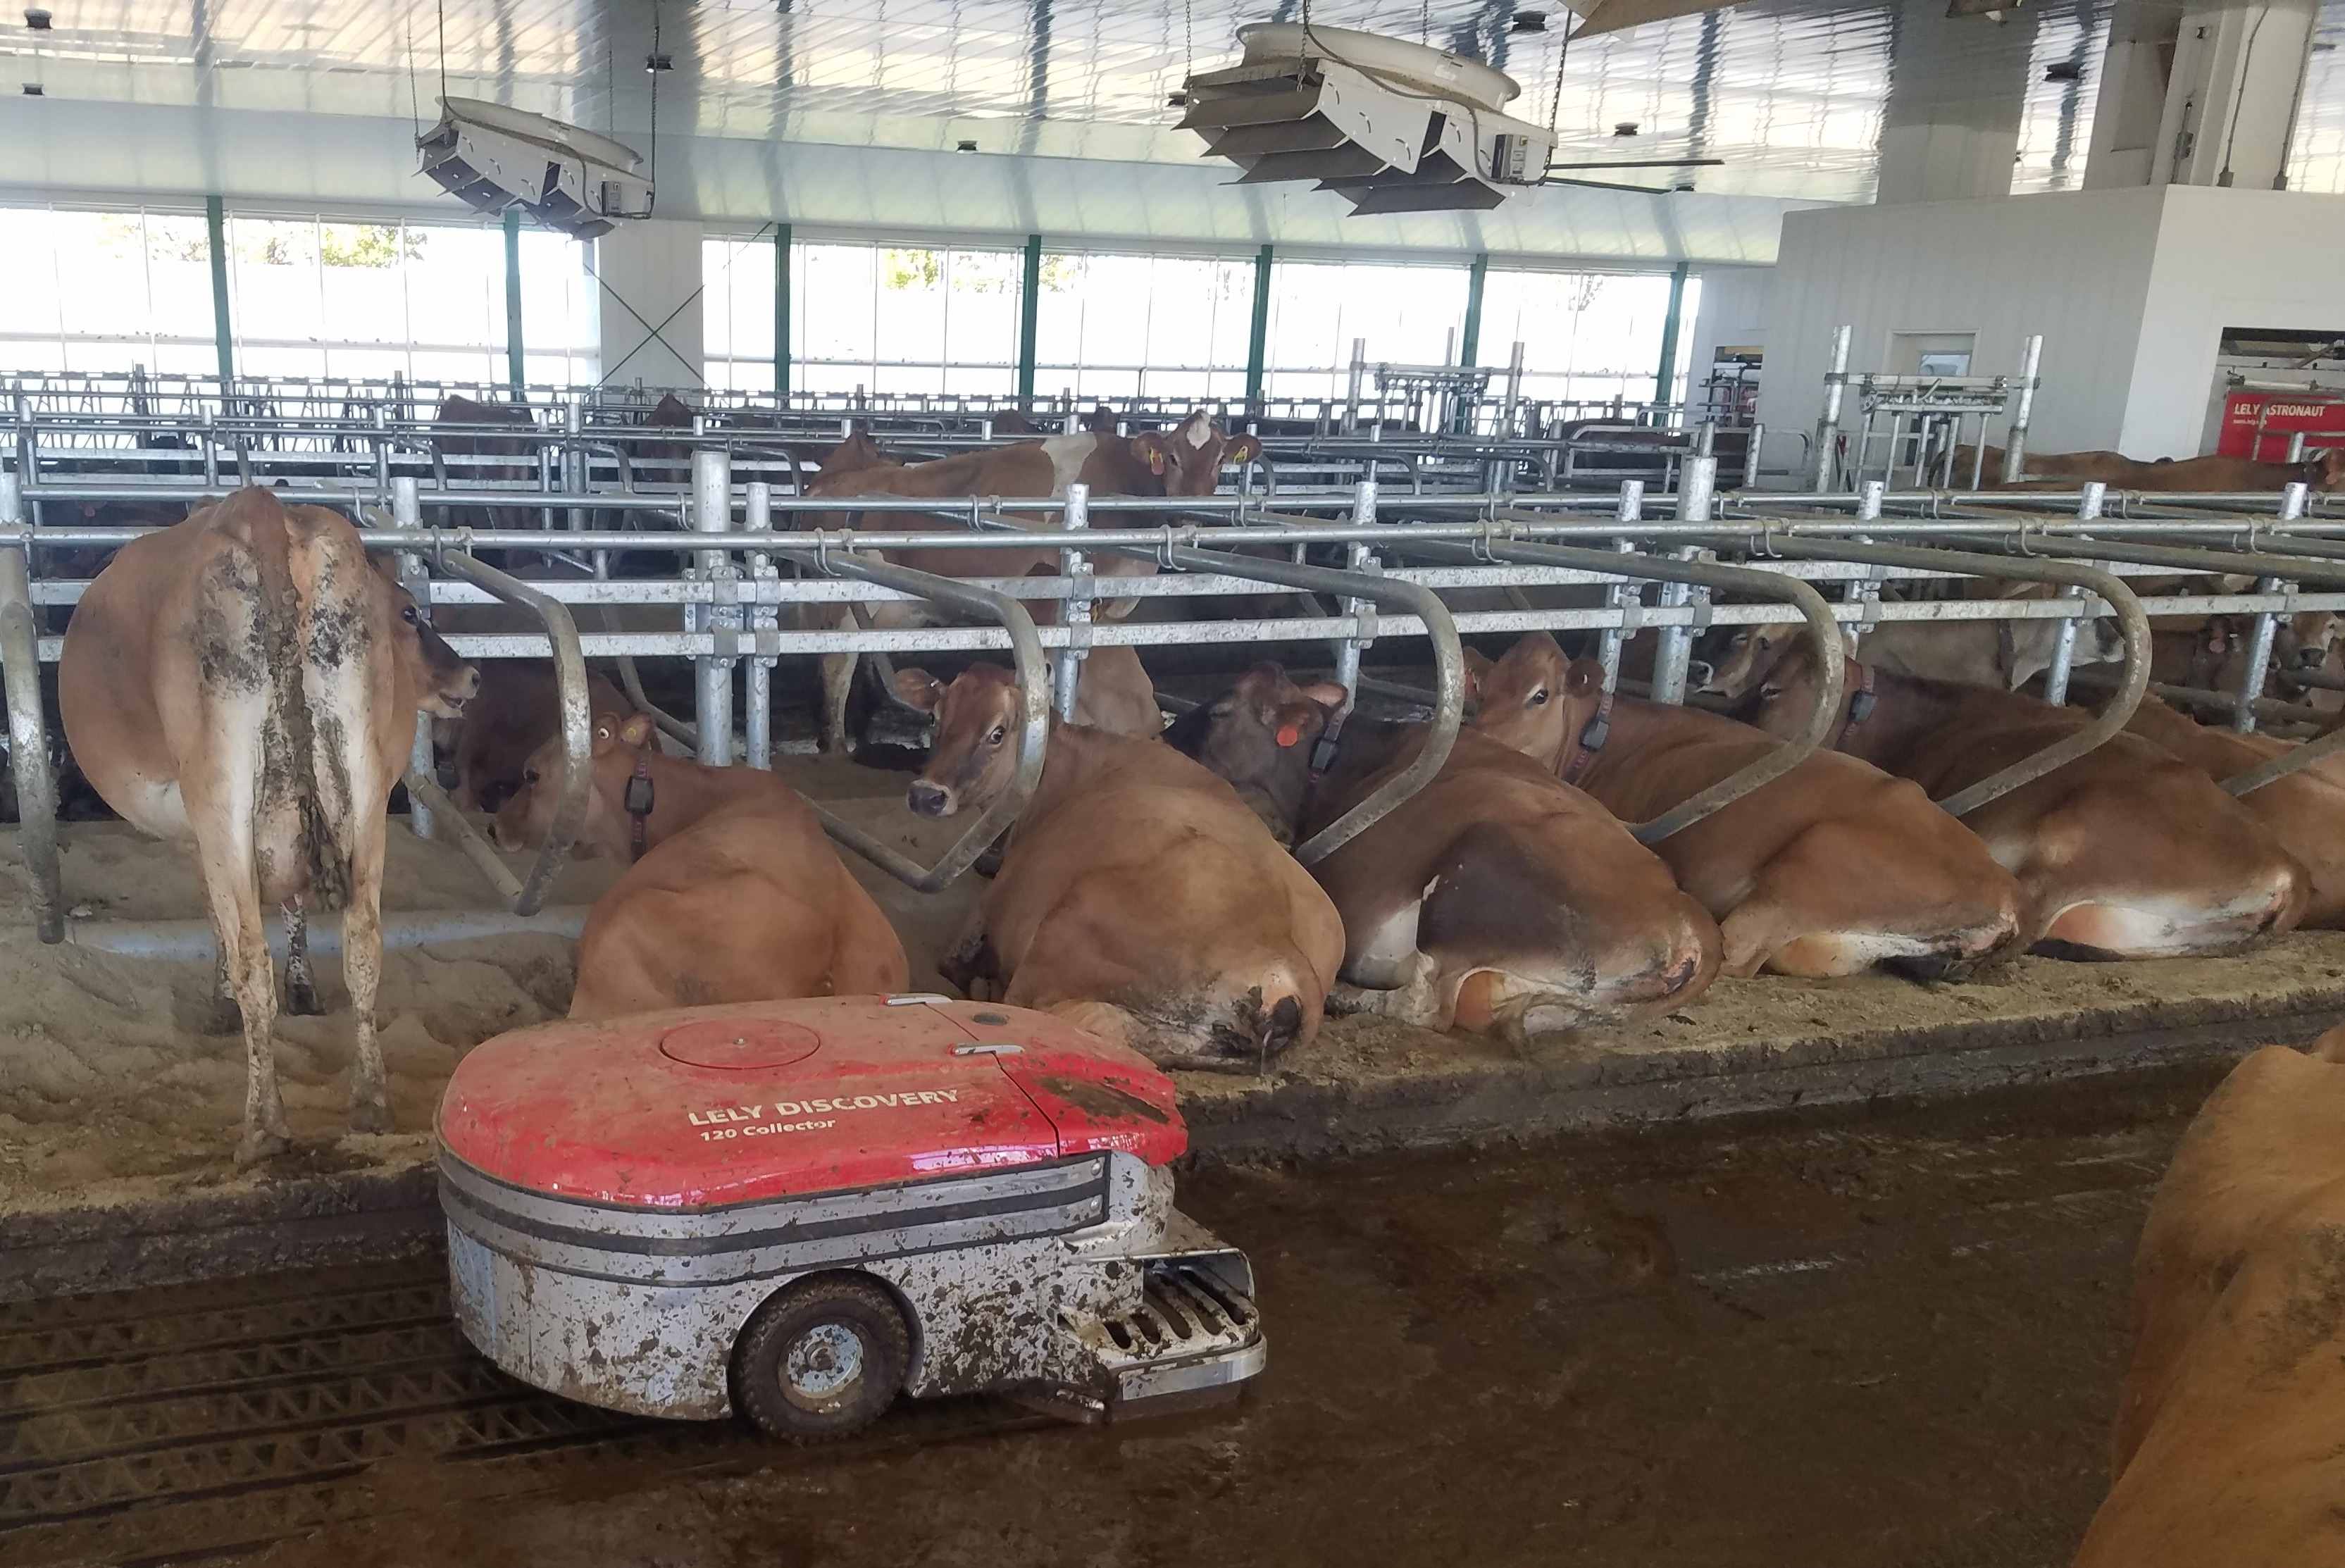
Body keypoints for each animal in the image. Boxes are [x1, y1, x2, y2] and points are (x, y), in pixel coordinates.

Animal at [891, 656, 1341, 1069]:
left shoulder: (988, 909)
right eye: (934, 718)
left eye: (997, 733)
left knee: (1022, 1004)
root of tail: (1291, 967)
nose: (926, 795)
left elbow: (955, 962)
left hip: (1066, 928)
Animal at [1163, 661, 1716, 1040]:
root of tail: (1688, 913)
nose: (1163, 739)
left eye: (1219, 711)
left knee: (1427, 1004)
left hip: (1473, 870)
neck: (1341, 760)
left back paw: (1345, 995)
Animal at [1472, 633, 2026, 979]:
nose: (1480, 735)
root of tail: (2003, 888)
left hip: (1815, 858)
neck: (1597, 740)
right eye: (1481, 692)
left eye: (1539, 695)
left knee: (1735, 953)